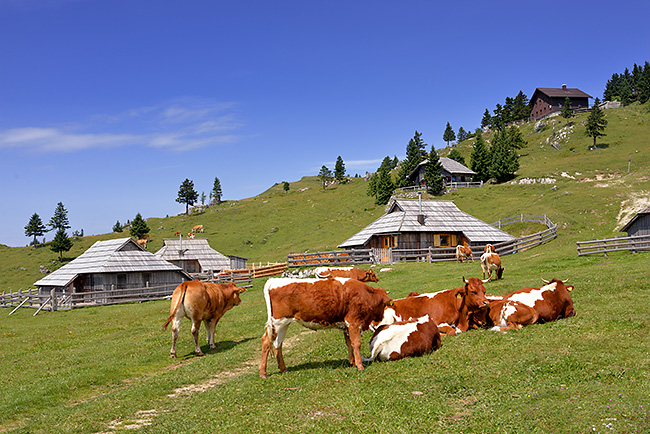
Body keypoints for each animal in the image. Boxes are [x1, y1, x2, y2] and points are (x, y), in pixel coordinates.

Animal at [258, 278, 390, 376]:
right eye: (384, 305)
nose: (380, 319)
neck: (365, 295)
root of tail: (273, 280)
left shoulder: (346, 325)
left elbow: (349, 343)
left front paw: (352, 362)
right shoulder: (353, 322)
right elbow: (356, 343)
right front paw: (360, 366)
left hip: (283, 324)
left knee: (278, 343)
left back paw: (283, 369)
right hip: (278, 322)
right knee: (266, 341)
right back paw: (263, 373)